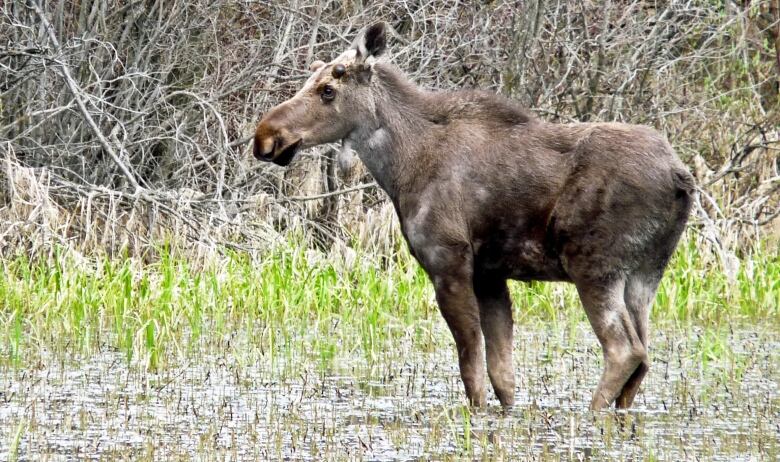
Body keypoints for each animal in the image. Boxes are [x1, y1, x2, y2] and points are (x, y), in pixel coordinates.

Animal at [251, 23, 696, 410]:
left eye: (327, 90)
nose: (265, 136)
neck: (400, 166)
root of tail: (681, 177)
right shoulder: (490, 273)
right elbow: (503, 375)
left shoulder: (447, 260)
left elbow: (471, 369)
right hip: (646, 274)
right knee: (643, 356)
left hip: (594, 266)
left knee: (624, 350)